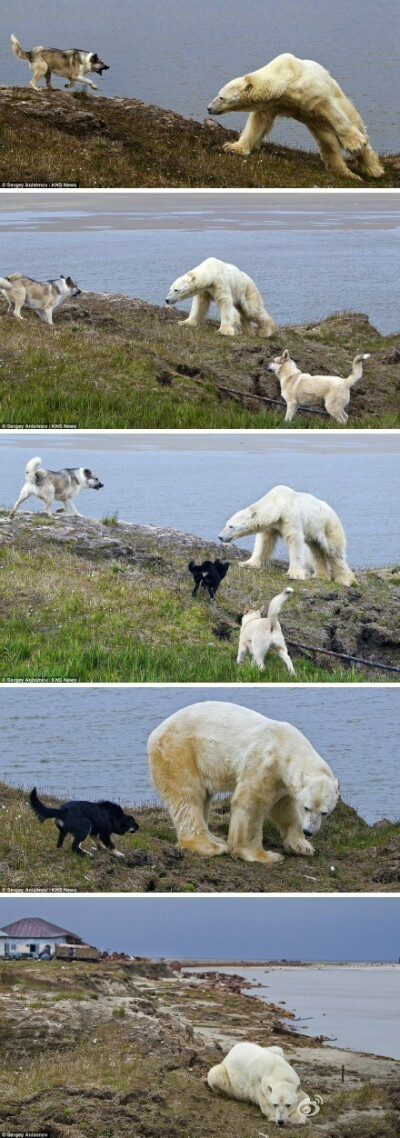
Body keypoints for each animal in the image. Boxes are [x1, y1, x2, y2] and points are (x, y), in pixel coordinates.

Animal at [147, 701, 337, 860]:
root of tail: (155, 732)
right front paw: (264, 855)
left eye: (324, 812)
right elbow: (250, 803)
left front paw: (303, 846)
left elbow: (284, 808)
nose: (309, 831)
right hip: (180, 751)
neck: (288, 746)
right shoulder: (265, 763)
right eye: (307, 807)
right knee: (188, 796)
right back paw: (210, 846)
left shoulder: (282, 780)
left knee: (202, 797)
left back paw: (216, 839)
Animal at [208, 52, 382, 180]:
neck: (285, 76)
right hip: (316, 124)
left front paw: (355, 144)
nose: (209, 108)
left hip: (343, 102)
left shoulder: (311, 92)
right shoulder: (273, 104)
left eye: (221, 97)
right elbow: (257, 124)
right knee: (327, 142)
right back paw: (343, 171)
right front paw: (233, 147)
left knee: (356, 127)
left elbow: (331, 111)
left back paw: (373, 169)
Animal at [217, 484, 355, 587]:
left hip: (328, 526)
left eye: (231, 526)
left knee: (334, 552)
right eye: (227, 524)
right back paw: (320, 576)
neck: (278, 503)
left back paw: (345, 580)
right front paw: (247, 563)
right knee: (316, 550)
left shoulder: (290, 516)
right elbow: (264, 541)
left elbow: (294, 540)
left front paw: (294, 574)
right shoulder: (272, 525)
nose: (220, 537)